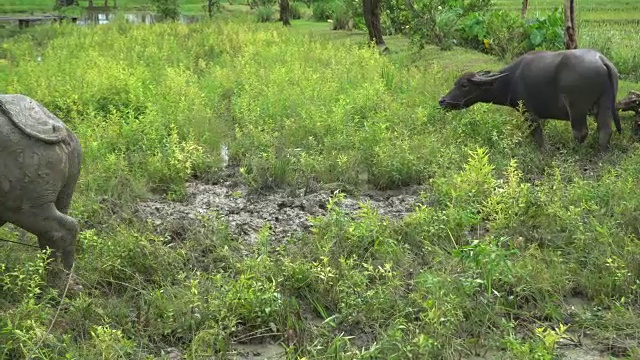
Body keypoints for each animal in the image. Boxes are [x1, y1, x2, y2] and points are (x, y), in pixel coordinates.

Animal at [438, 48, 624, 150]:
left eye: (463, 85)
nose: (442, 101)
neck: (511, 79)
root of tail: (601, 60)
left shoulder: (529, 113)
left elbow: (537, 134)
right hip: (605, 103)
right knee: (605, 130)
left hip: (576, 107)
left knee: (580, 132)